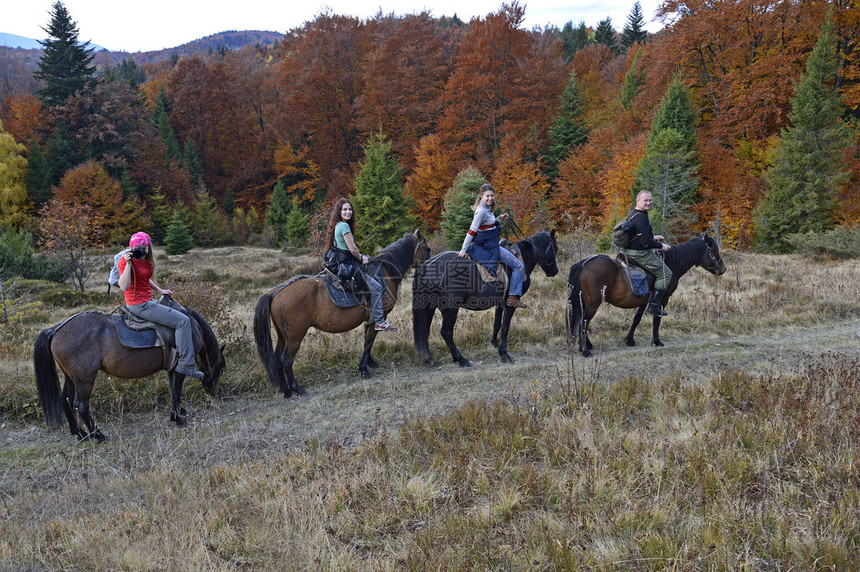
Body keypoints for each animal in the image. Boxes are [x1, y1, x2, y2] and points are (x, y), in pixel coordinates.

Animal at [254, 230, 430, 396]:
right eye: (427, 249)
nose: (429, 266)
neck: (385, 273)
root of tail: (274, 292)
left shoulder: (369, 318)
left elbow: (368, 340)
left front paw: (370, 363)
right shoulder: (379, 316)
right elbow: (369, 340)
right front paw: (363, 369)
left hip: (283, 335)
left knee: (277, 358)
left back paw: (285, 389)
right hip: (295, 336)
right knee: (286, 359)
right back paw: (297, 388)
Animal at [414, 229, 560, 366]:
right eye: (555, 248)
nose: (555, 271)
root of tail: (428, 265)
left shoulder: (500, 303)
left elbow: (497, 324)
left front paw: (493, 343)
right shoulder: (510, 303)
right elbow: (505, 327)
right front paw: (504, 354)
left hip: (429, 307)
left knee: (425, 331)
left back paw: (431, 359)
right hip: (450, 309)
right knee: (446, 332)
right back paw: (461, 359)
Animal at [572, 231, 724, 354]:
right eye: (713, 250)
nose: (723, 269)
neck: (670, 263)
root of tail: (583, 264)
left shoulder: (644, 301)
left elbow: (637, 318)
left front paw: (629, 340)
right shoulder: (662, 299)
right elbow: (657, 319)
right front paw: (656, 341)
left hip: (585, 303)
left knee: (581, 322)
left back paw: (587, 345)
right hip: (593, 304)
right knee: (583, 323)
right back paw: (584, 350)